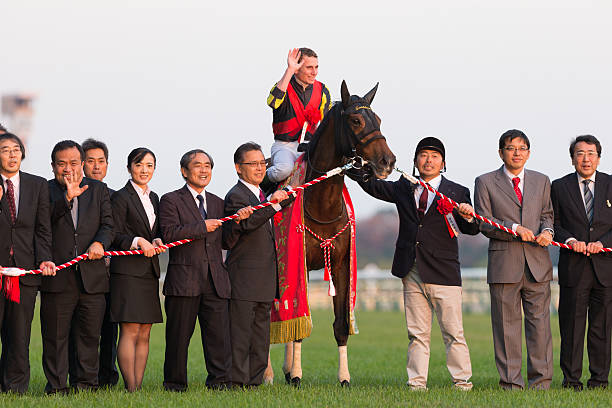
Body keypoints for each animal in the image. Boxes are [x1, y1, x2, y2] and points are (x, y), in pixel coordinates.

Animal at [262, 79, 396, 386]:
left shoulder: (341, 263)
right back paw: (270, 373)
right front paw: (297, 374)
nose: (387, 161)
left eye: (379, 119)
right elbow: (298, 325)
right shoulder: (296, 259)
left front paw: (343, 377)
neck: (322, 205)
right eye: (356, 120)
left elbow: (340, 324)